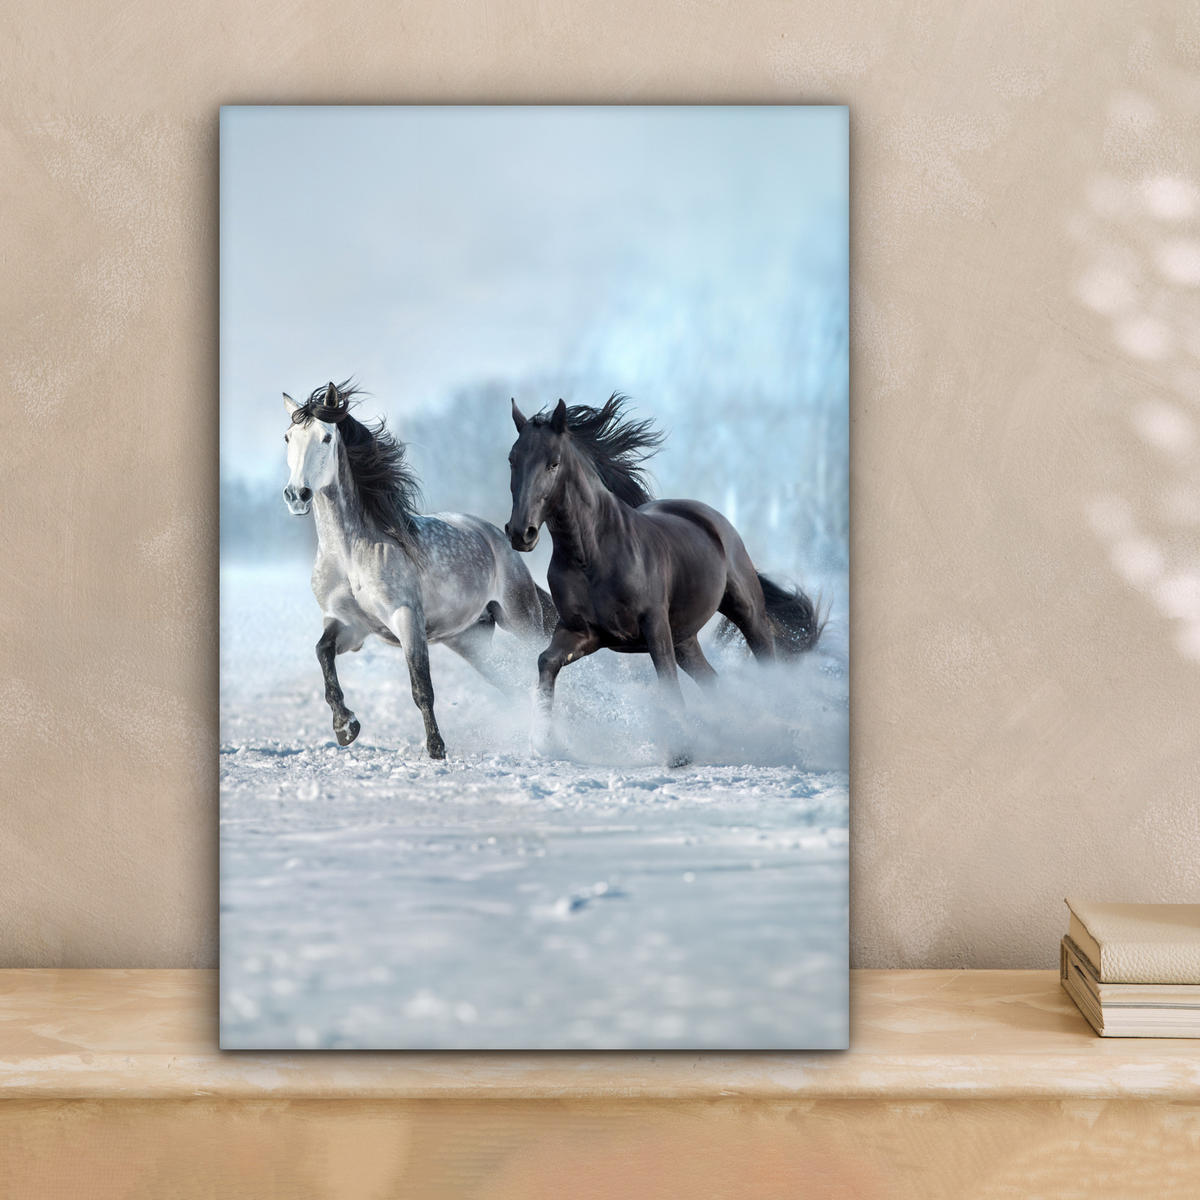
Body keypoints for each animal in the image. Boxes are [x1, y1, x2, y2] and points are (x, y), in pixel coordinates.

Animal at [282, 380, 556, 759]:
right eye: (288, 437)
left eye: (325, 437)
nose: (297, 495)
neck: (350, 555)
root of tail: (497, 537)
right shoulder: (349, 625)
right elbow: (322, 653)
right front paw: (345, 726)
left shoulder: (406, 618)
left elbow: (421, 686)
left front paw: (436, 748)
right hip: (469, 639)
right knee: (511, 682)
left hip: (521, 619)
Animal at [504, 393, 822, 766]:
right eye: (512, 460)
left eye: (553, 463)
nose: (521, 533)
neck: (592, 555)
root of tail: (712, 519)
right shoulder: (582, 632)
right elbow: (546, 662)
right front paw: (544, 743)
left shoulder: (654, 626)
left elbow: (667, 682)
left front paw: (680, 753)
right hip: (685, 638)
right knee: (712, 681)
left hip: (746, 612)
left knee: (766, 661)